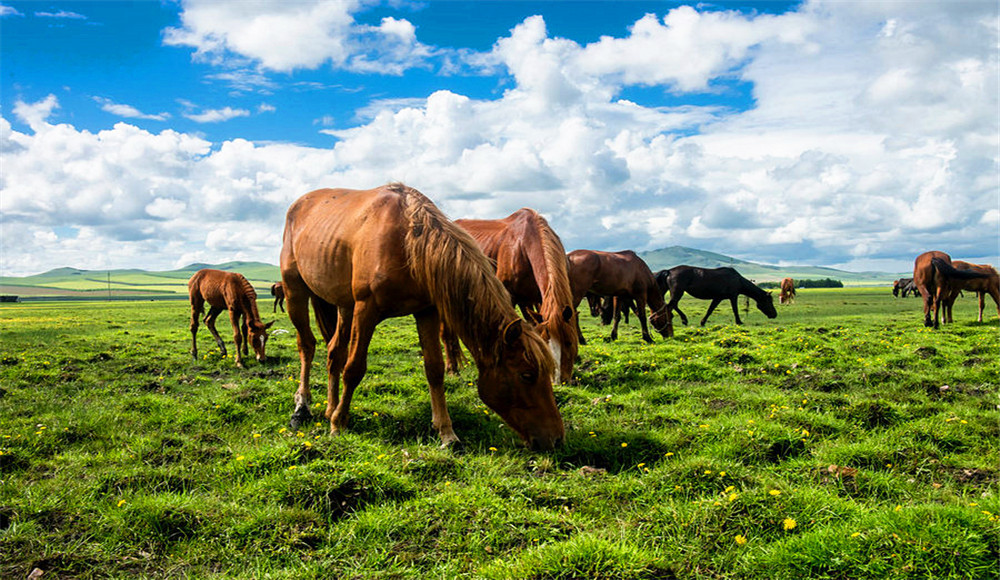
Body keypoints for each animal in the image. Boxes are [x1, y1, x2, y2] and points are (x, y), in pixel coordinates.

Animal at [280, 184, 564, 450]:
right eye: (527, 375)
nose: (557, 439)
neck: (407, 242)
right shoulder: (366, 310)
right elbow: (354, 368)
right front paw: (338, 425)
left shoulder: (426, 312)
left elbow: (434, 370)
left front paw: (447, 434)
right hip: (296, 293)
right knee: (307, 345)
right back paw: (303, 407)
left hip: (344, 307)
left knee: (333, 351)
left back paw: (330, 407)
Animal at [448, 211, 580, 382]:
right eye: (546, 342)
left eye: (569, 342)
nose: (558, 381)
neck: (523, 245)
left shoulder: (535, 300)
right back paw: (452, 368)